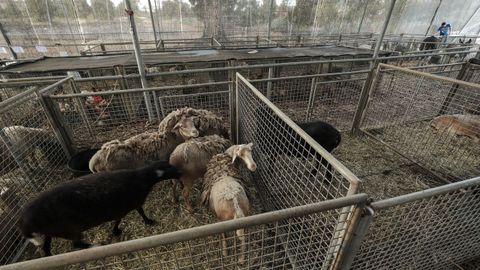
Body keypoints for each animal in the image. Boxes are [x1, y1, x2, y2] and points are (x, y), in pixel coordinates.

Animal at [17, 161, 181, 256]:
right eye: (170, 167)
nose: (180, 172)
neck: (144, 177)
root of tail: (24, 221)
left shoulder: (125, 206)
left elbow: (127, 216)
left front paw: (117, 230)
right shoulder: (127, 205)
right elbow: (133, 213)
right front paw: (147, 222)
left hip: (50, 231)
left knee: (46, 248)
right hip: (68, 228)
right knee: (76, 244)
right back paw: (98, 245)